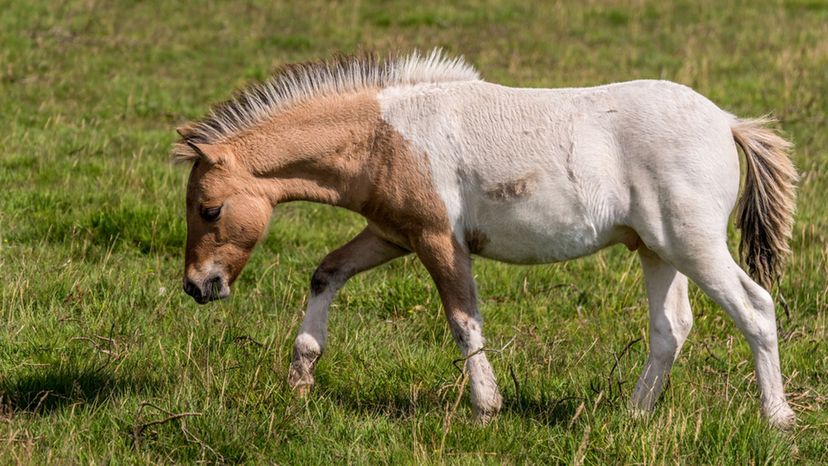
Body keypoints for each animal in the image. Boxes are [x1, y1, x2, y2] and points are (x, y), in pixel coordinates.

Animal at [173, 49, 796, 428]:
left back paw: (778, 420)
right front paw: (301, 378)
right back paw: (631, 416)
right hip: (656, 250)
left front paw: (485, 409)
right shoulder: (390, 235)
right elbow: (326, 272)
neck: (384, 137)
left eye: (209, 209)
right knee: (671, 329)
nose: (198, 286)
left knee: (755, 309)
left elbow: (463, 321)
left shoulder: (437, 240)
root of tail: (728, 122)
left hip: (694, 246)